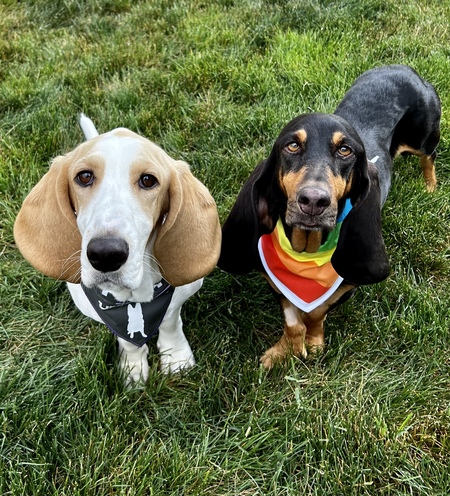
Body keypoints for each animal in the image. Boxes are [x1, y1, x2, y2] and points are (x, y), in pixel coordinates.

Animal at [14, 116, 222, 388]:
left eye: (148, 180)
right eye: (84, 177)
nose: (105, 254)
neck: (135, 297)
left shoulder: (179, 294)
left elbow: (169, 322)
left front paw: (176, 357)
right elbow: (129, 342)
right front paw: (133, 367)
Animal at [220, 65, 442, 368]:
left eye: (345, 150)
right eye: (292, 146)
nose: (314, 201)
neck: (307, 251)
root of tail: (404, 68)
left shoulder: (348, 284)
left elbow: (315, 313)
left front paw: (312, 344)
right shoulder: (274, 282)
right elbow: (292, 322)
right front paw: (283, 351)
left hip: (423, 136)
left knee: (429, 156)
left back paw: (429, 186)